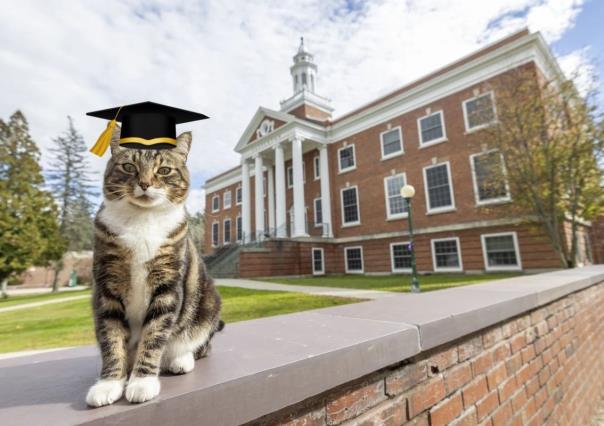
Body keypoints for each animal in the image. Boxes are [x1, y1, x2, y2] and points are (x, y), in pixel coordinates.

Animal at [85, 125, 222, 406]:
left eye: (164, 170)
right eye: (129, 166)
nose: (145, 184)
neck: (142, 220)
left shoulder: (167, 284)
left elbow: (155, 334)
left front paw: (142, 382)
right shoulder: (107, 286)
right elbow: (111, 337)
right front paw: (109, 384)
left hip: (208, 303)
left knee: (200, 344)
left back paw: (180, 359)